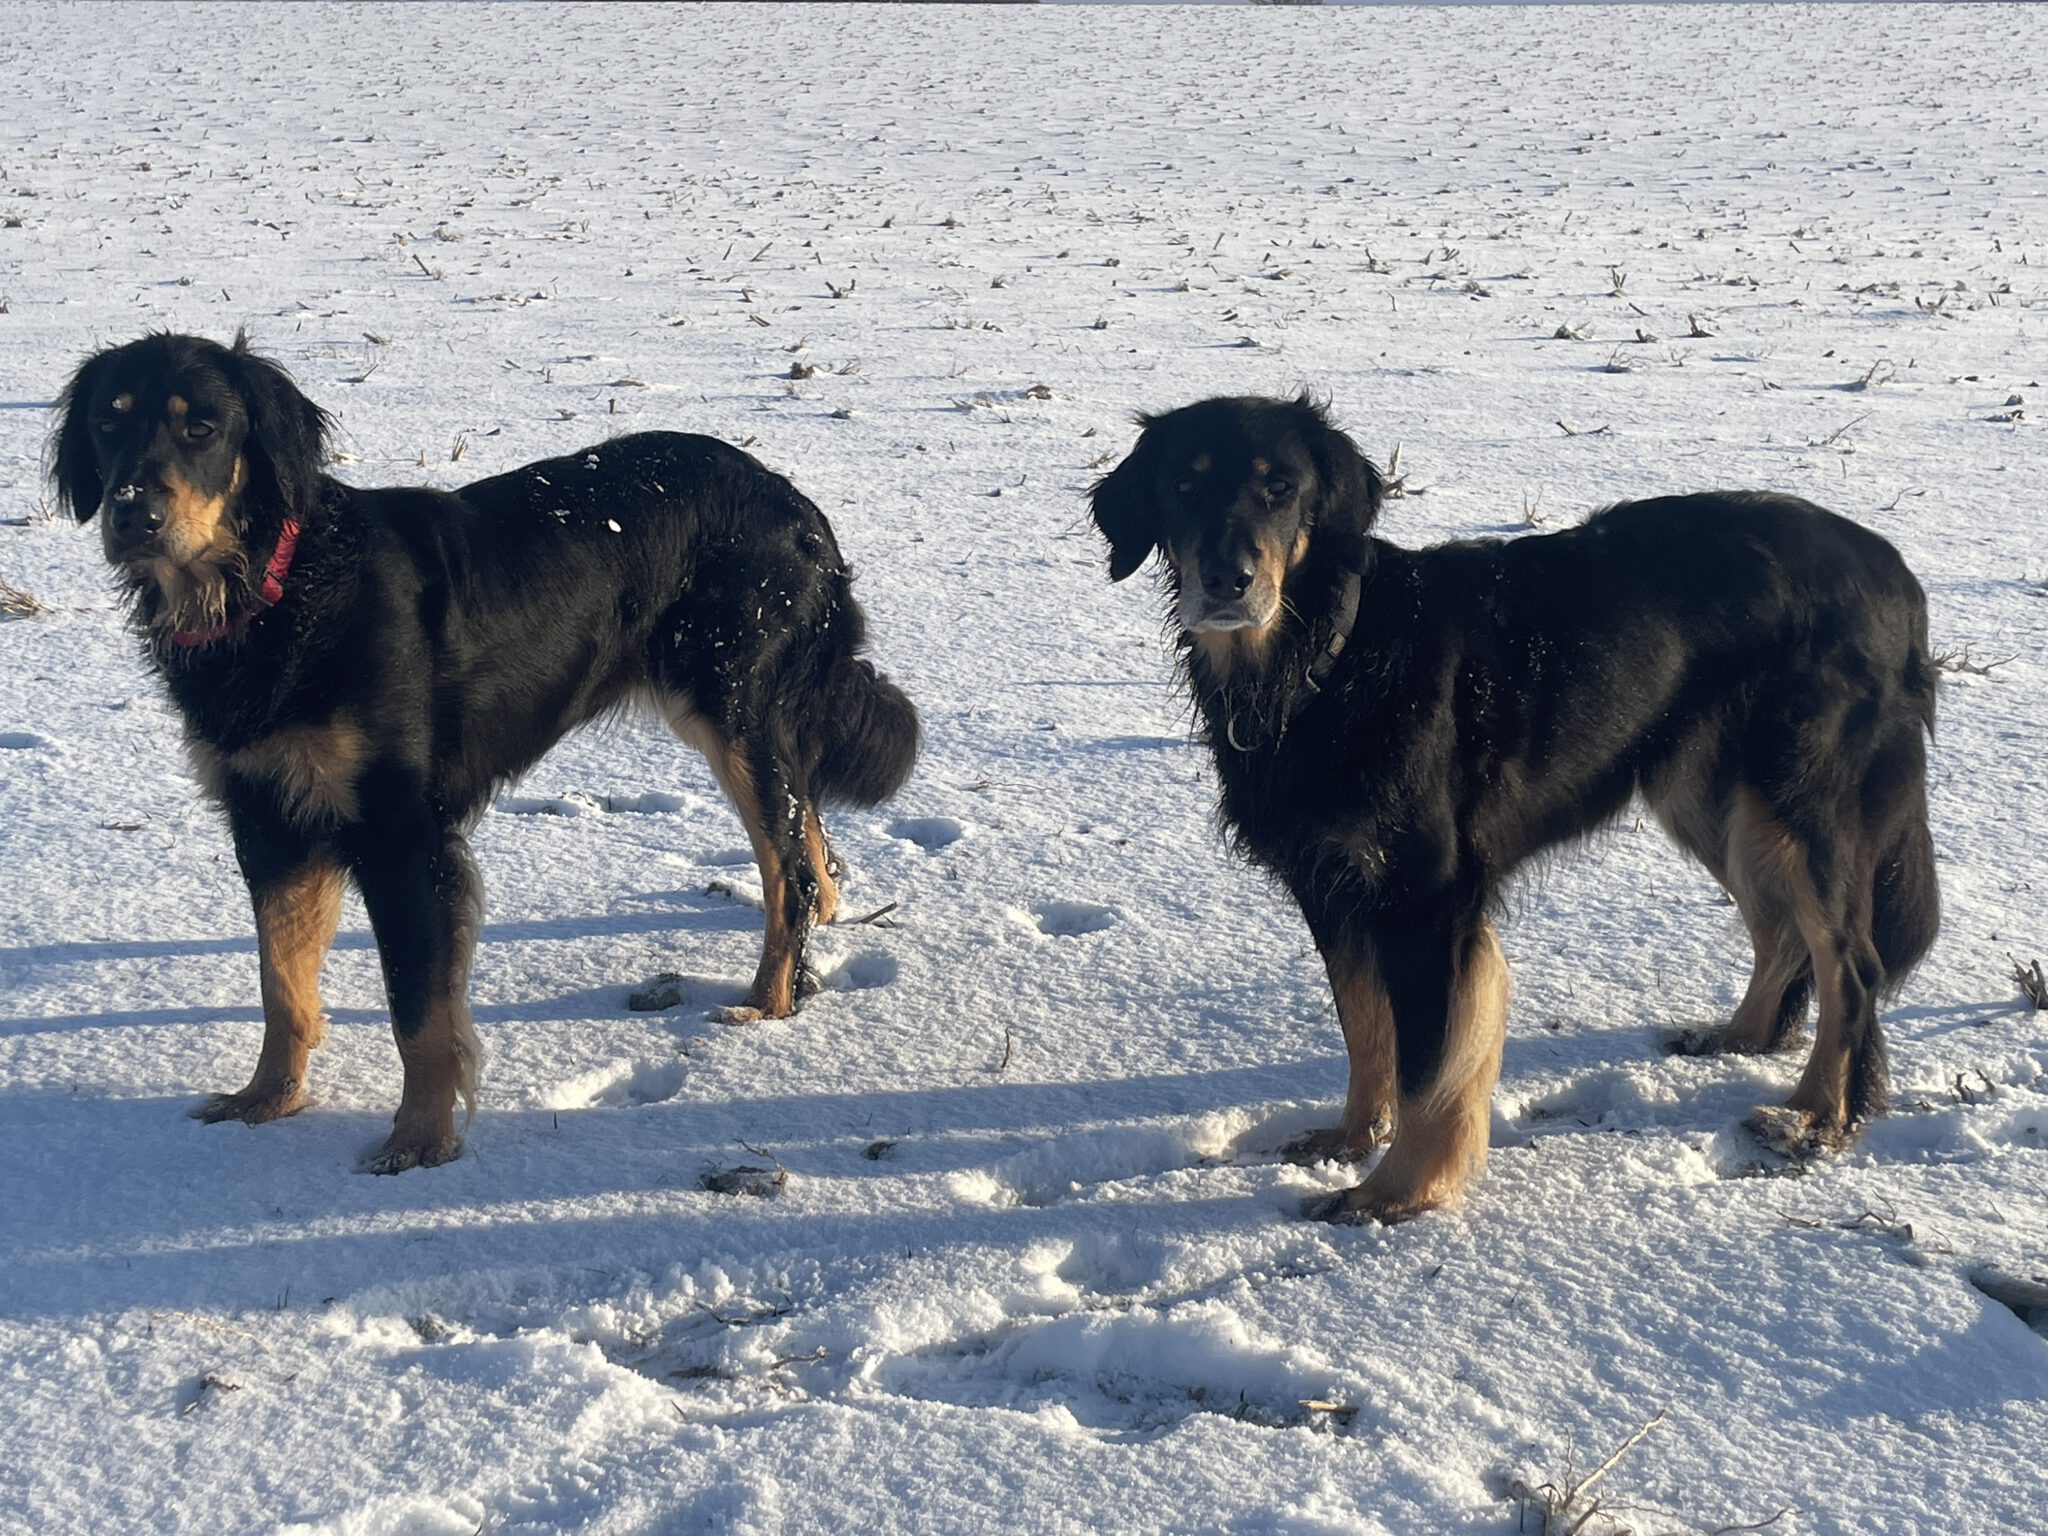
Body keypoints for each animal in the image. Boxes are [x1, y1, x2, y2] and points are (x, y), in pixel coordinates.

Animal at [52, 331, 918, 1171]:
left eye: (202, 429)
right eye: (107, 423)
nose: (132, 517)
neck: (281, 587)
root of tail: (792, 500)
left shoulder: (401, 835)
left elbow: (419, 1012)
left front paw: (419, 1143)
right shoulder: (267, 819)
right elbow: (282, 980)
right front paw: (269, 1099)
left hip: (734, 710)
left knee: (786, 869)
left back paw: (768, 1002)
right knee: (804, 828)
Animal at [1090, 394, 1938, 1223]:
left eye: (1281, 488)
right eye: (1183, 486)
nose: (1226, 580)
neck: (1330, 658)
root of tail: (1895, 570)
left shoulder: (1426, 900)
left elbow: (1429, 1063)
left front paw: (1396, 1193)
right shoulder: (1332, 885)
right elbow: (1365, 1026)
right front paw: (1352, 1137)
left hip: (1805, 799)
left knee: (1849, 961)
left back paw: (1818, 1117)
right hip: (1710, 796)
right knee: (1779, 929)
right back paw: (1743, 1036)